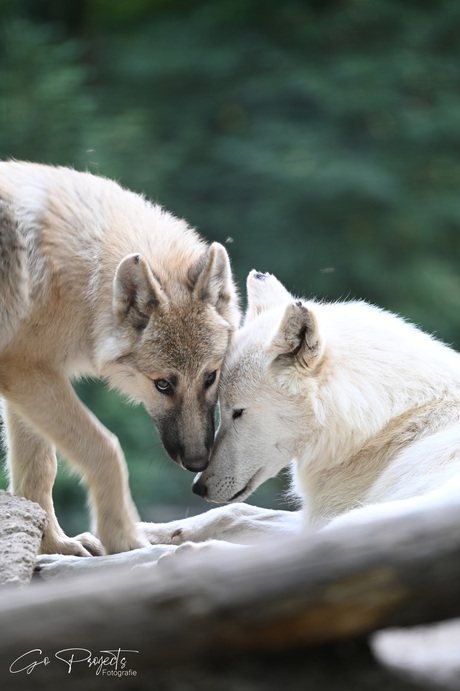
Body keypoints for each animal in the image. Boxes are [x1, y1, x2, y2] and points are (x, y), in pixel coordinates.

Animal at [0, 161, 237, 556]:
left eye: (210, 377)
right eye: (162, 385)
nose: (197, 463)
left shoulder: (27, 374)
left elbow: (38, 472)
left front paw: (55, 546)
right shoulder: (28, 373)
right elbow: (106, 449)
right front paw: (123, 538)